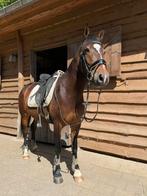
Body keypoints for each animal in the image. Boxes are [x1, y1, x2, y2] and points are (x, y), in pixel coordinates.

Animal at [18, 31, 109, 185]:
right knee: (25, 131)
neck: (68, 92)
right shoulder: (58, 124)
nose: (103, 77)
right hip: (24, 115)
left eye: (103, 50)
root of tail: (25, 88)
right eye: (86, 50)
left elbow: (74, 148)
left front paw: (77, 172)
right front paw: (57, 173)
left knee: (33, 128)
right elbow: (58, 148)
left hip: (35, 115)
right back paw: (25, 153)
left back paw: (34, 146)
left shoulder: (76, 125)